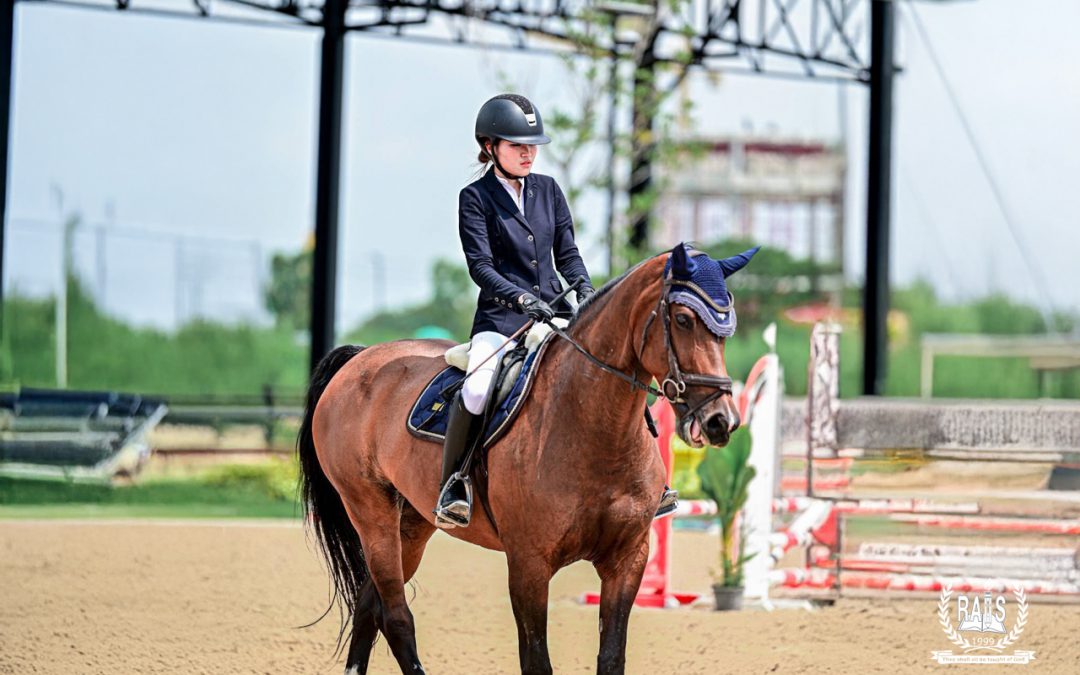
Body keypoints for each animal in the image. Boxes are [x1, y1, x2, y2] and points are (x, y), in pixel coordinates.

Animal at [297, 242, 756, 674]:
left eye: (726, 329)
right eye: (683, 319)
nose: (721, 421)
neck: (594, 430)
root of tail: (359, 358)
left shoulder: (627, 561)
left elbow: (611, 657)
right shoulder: (529, 564)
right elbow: (536, 660)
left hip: (411, 523)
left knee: (369, 604)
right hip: (369, 509)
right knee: (395, 615)